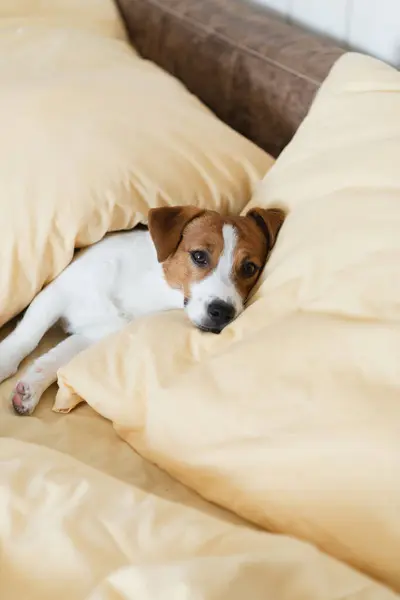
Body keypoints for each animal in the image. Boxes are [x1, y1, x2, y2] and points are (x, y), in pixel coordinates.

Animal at [0, 204, 284, 414]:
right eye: (199, 256)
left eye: (249, 268)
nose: (223, 312)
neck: (146, 291)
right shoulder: (55, 293)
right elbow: (27, 338)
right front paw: (5, 361)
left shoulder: (94, 335)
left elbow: (56, 358)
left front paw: (31, 388)